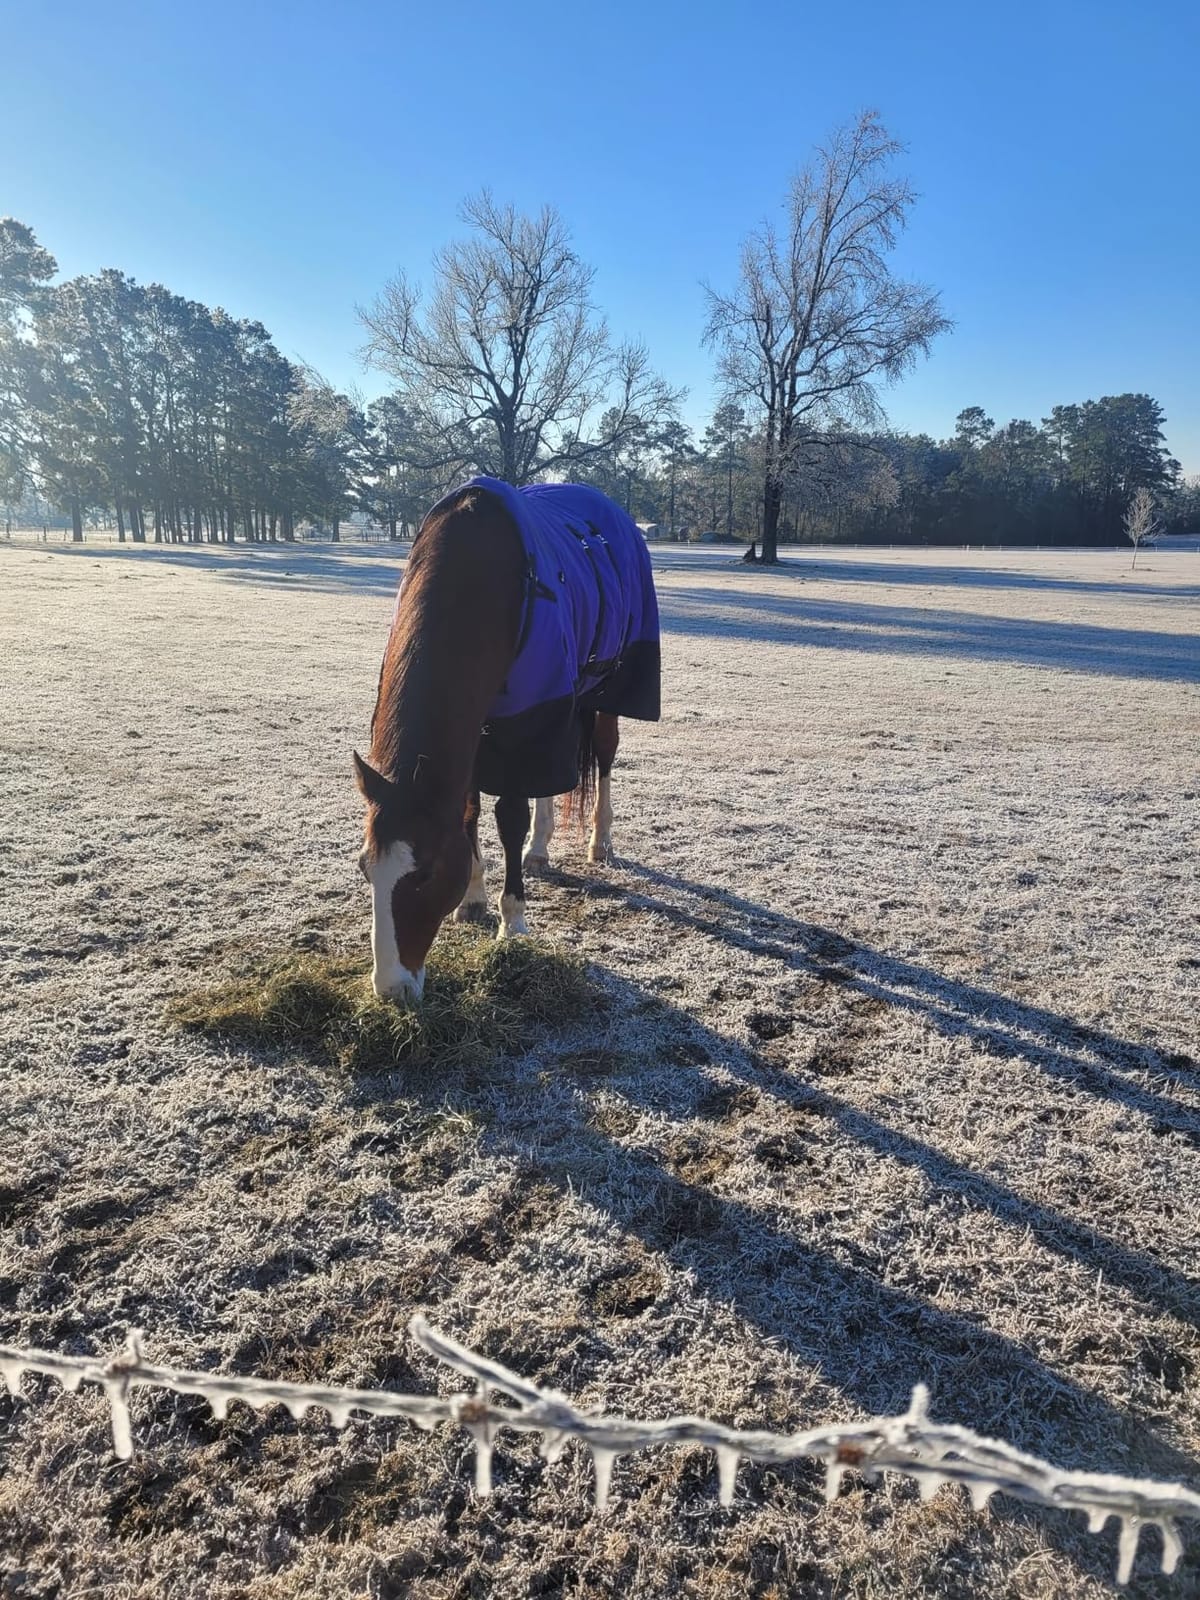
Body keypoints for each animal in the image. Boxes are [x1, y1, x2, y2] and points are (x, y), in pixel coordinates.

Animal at [354, 476, 661, 1002]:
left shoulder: (528, 715)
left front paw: (512, 922)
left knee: (602, 757)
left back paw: (599, 840)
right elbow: (470, 812)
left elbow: (509, 819)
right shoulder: (486, 732)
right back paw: (540, 850)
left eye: (425, 873)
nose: (392, 990)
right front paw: (473, 898)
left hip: (607, 687)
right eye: (364, 868)